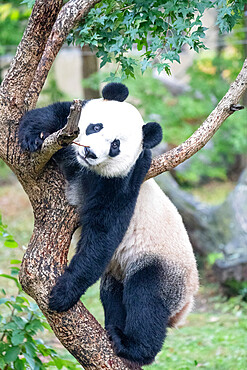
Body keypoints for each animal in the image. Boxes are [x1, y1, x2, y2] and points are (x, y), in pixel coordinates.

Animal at [18, 83, 199, 364]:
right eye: (95, 127)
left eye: (115, 146)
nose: (89, 152)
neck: (84, 168)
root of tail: (185, 306)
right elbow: (51, 114)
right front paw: (33, 137)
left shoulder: (122, 182)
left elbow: (104, 232)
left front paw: (62, 294)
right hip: (119, 271)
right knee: (113, 294)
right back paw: (114, 327)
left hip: (165, 267)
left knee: (147, 299)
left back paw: (132, 346)